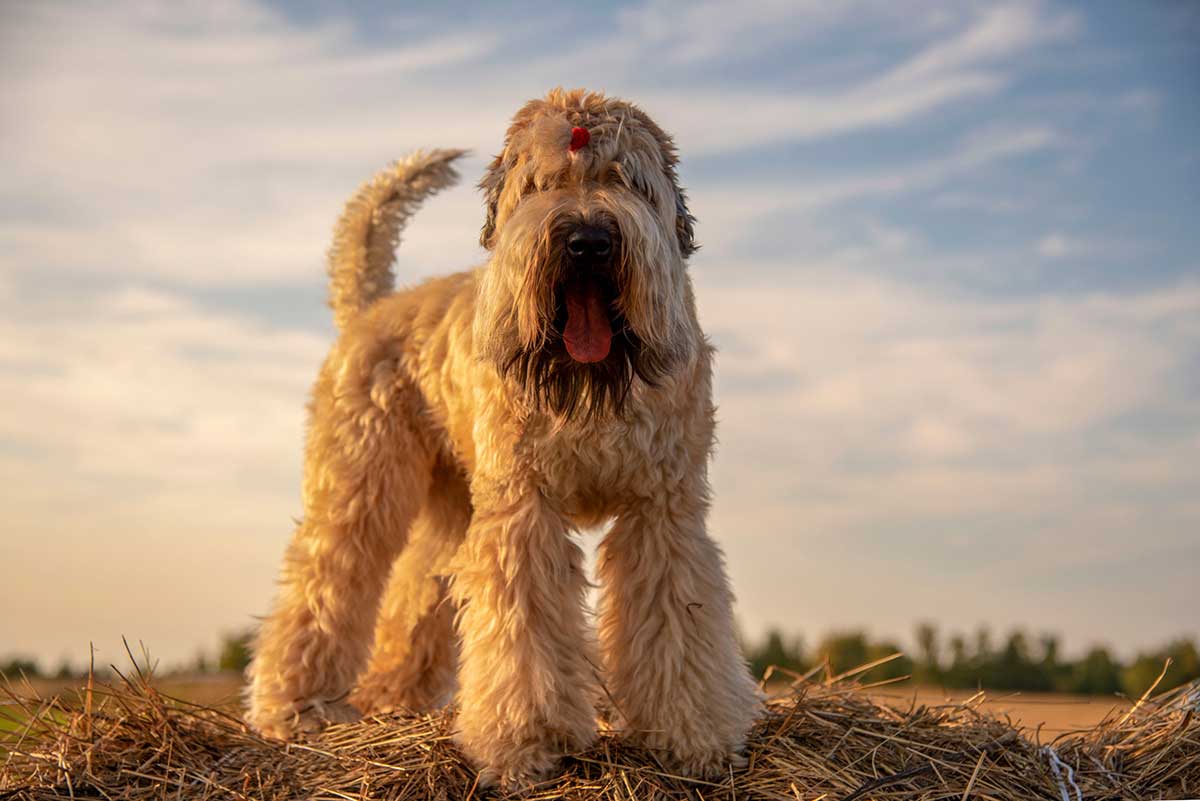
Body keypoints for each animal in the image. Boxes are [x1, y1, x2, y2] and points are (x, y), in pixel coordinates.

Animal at [246, 87, 758, 786]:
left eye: (626, 178)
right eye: (540, 183)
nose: (588, 241)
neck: (589, 384)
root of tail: (370, 309)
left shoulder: (663, 510)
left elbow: (679, 617)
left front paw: (691, 738)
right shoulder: (524, 508)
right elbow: (523, 630)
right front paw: (529, 743)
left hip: (452, 504)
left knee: (418, 584)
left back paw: (391, 698)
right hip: (359, 483)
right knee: (325, 579)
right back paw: (297, 708)